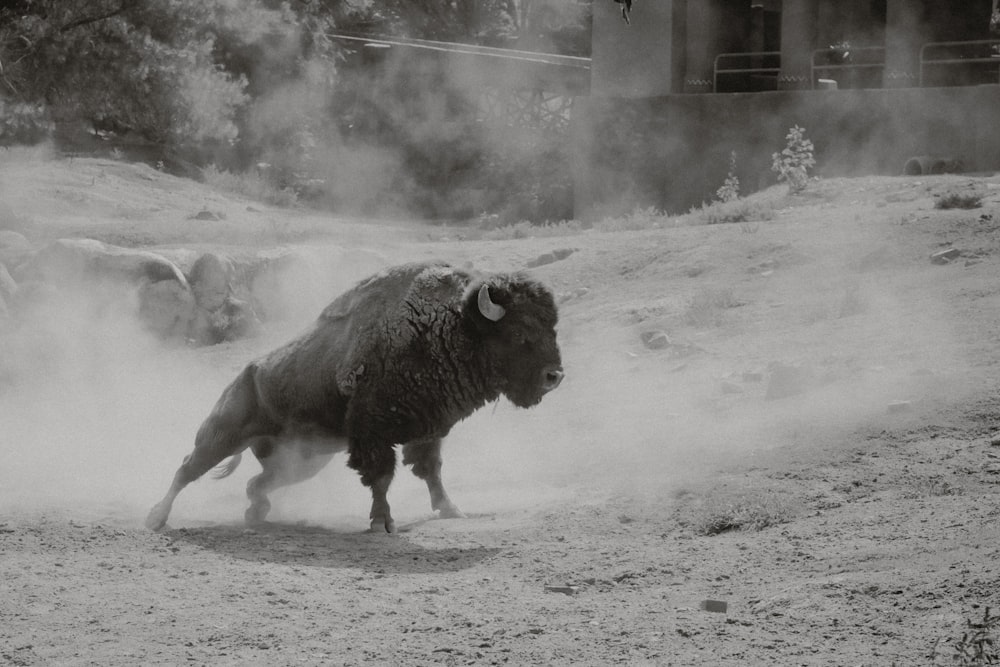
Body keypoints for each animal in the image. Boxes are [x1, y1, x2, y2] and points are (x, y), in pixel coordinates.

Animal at [145, 264, 564, 536]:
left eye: (552, 327)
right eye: (520, 333)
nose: (555, 376)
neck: (448, 324)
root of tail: (246, 373)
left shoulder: (427, 430)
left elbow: (431, 470)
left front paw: (451, 510)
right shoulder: (372, 432)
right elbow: (381, 476)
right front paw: (382, 522)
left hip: (301, 461)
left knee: (256, 482)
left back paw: (256, 513)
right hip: (222, 434)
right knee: (187, 468)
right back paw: (156, 518)